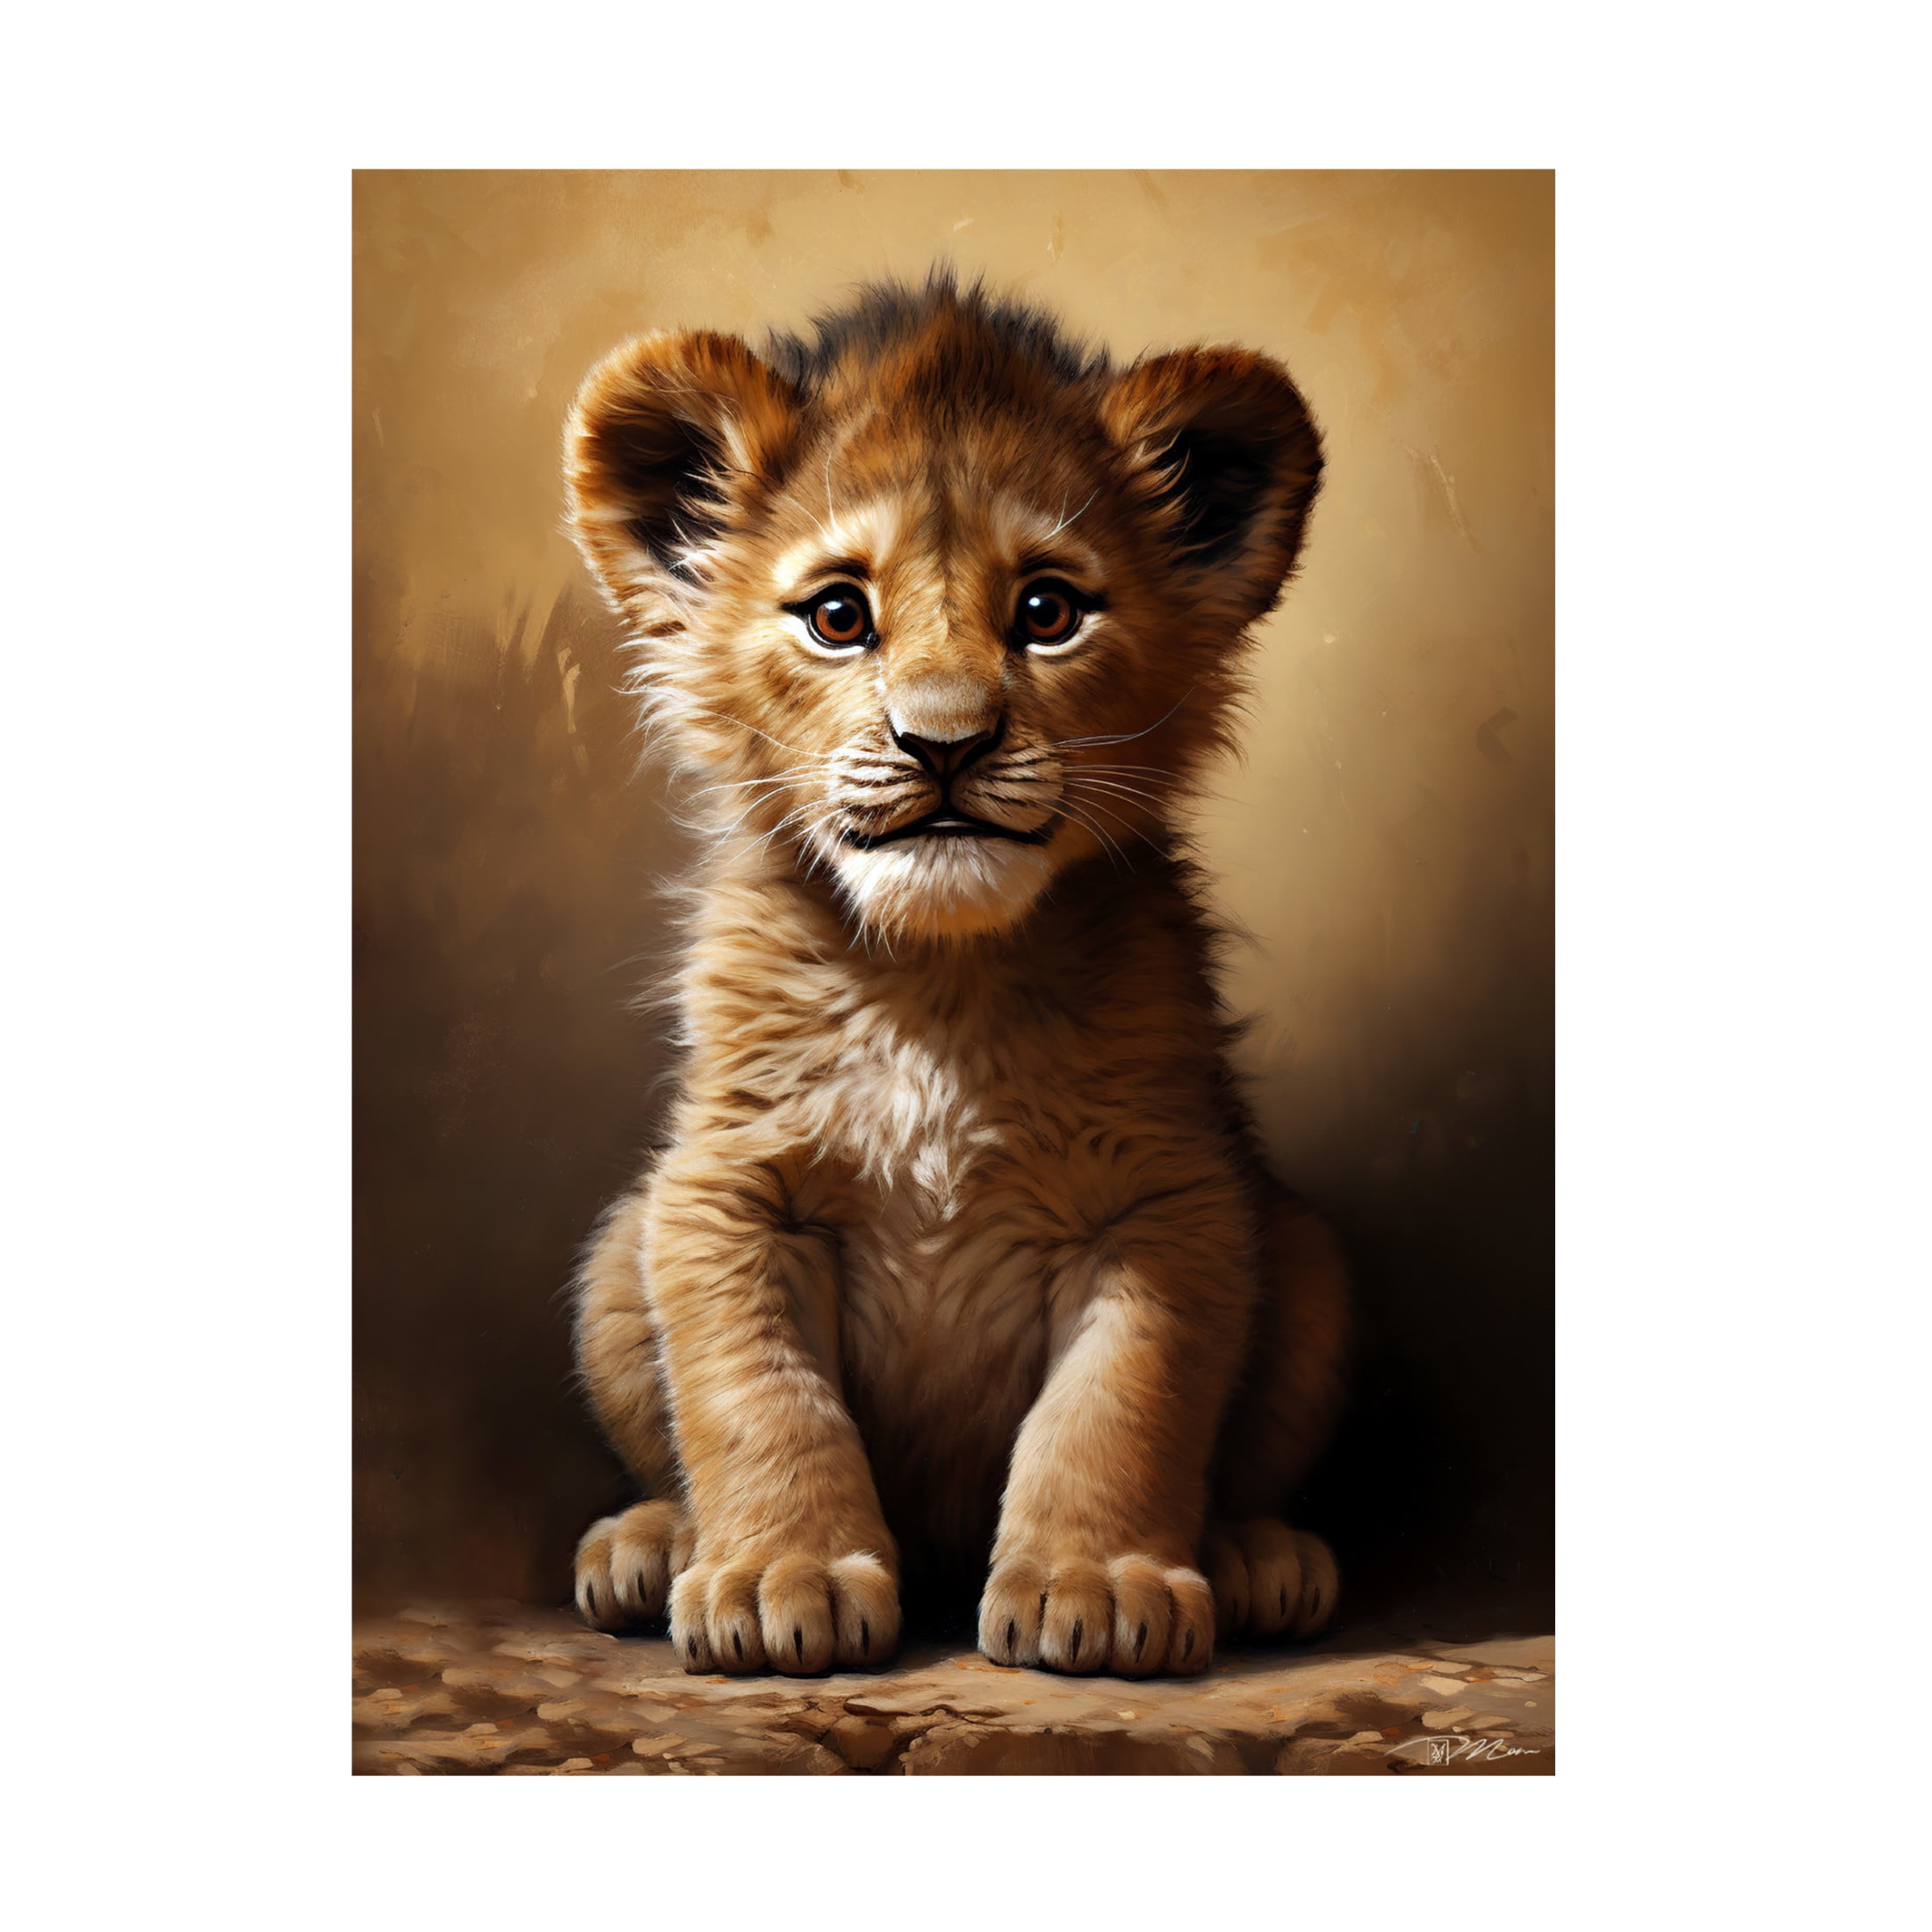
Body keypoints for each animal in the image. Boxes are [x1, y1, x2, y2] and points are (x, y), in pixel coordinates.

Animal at [562, 270, 1349, 1680]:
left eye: (1047, 611)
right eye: (838, 615)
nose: (944, 745)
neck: (938, 979)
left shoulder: (1168, 1203)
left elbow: (1115, 1411)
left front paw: (1097, 1587)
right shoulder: (722, 1192)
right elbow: (760, 1399)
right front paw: (778, 1579)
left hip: (1307, 1260)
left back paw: (1261, 1559)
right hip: (615, 1251)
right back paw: (649, 1545)